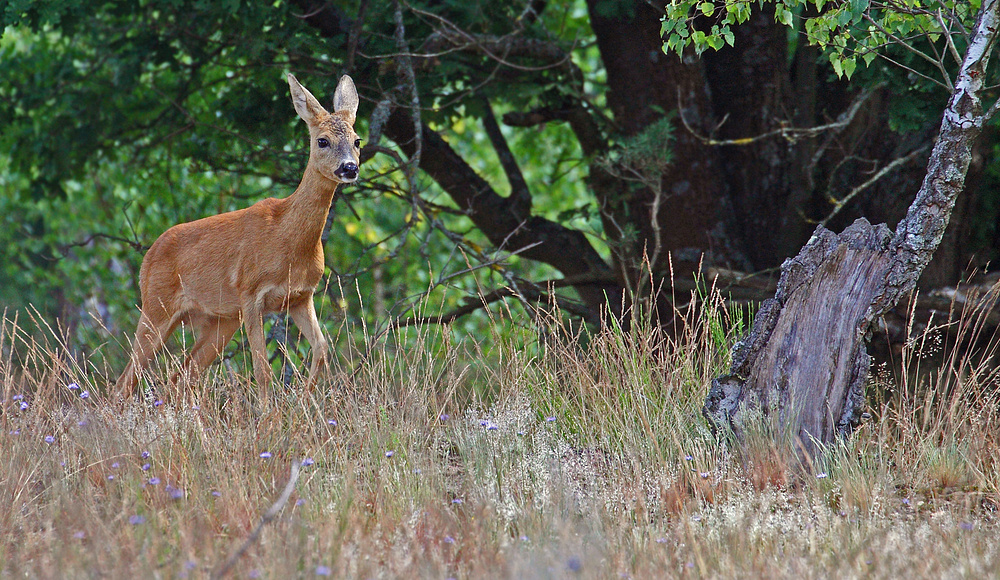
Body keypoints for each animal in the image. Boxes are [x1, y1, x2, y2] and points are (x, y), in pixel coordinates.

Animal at [115, 72, 362, 402]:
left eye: (357, 140)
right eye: (322, 141)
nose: (349, 168)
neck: (289, 242)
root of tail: (148, 257)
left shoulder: (300, 296)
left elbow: (322, 349)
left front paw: (304, 401)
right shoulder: (250, 293)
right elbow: (262, 368)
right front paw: (270, 413)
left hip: (219, 320)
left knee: (180, 375)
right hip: (156, 305)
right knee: (125, 381)